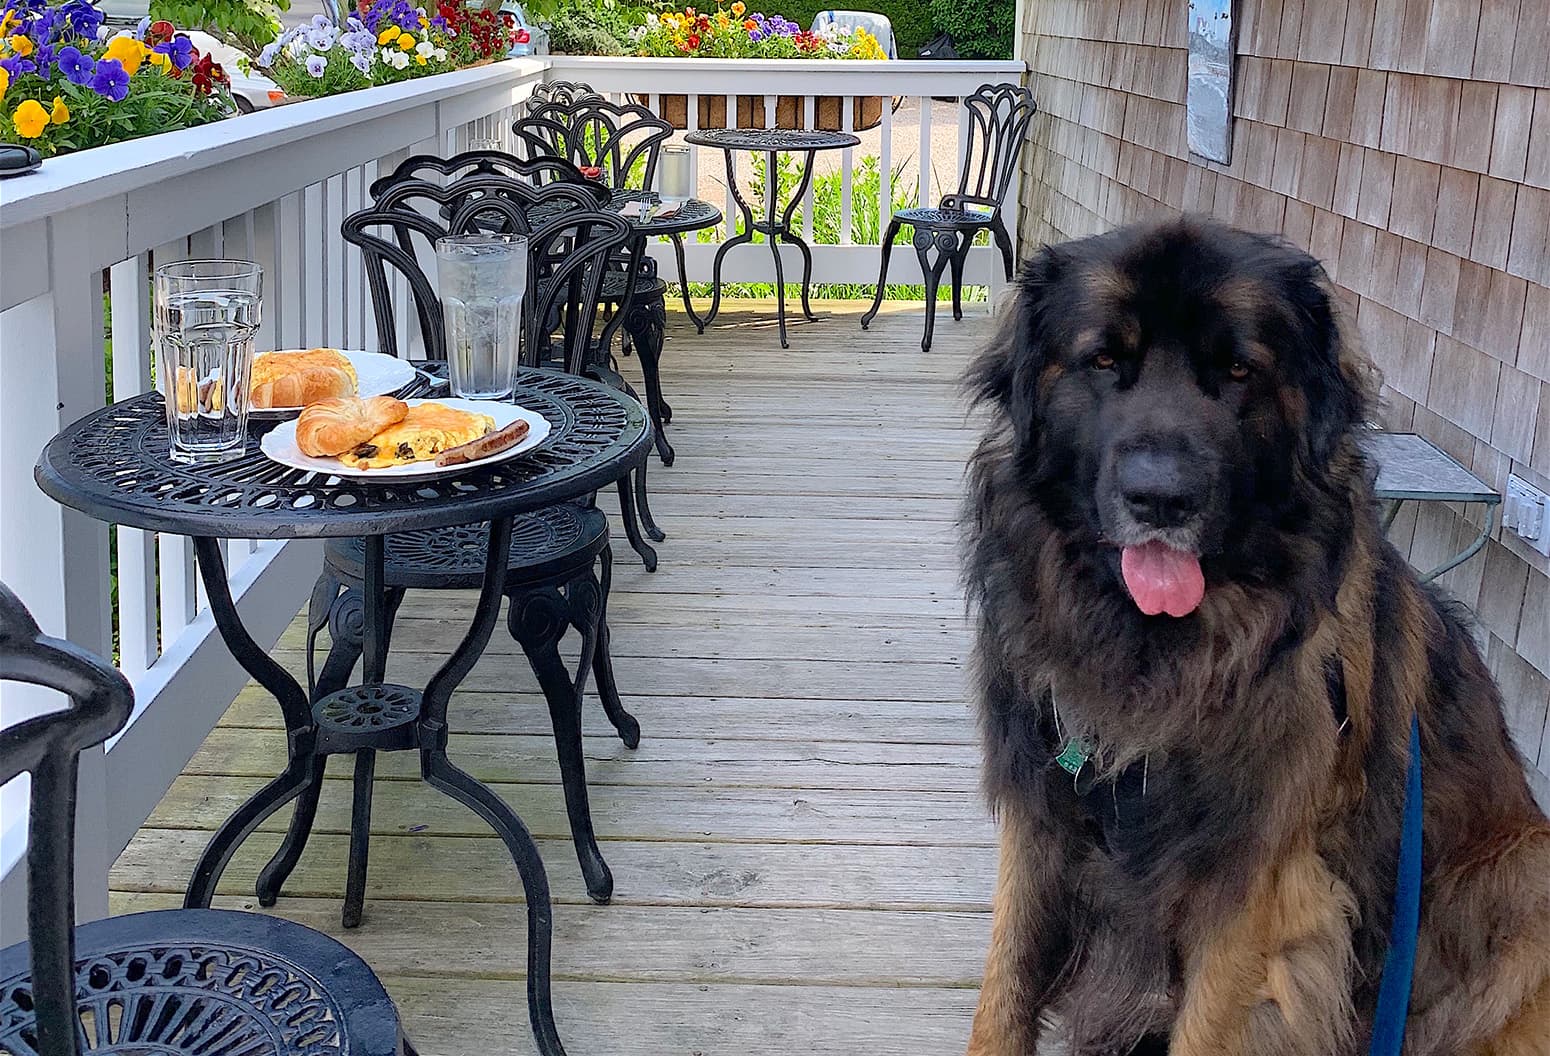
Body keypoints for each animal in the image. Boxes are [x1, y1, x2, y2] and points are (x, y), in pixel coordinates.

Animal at [961, 218, 1543, 1048]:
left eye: (1239, 371)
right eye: (1104, 359)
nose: (1161, 499)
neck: (1159, 650)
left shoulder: (1260, 890)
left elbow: (1207, 1029)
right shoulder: (1041, 817)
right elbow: (1003, 993)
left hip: (1519, 887)